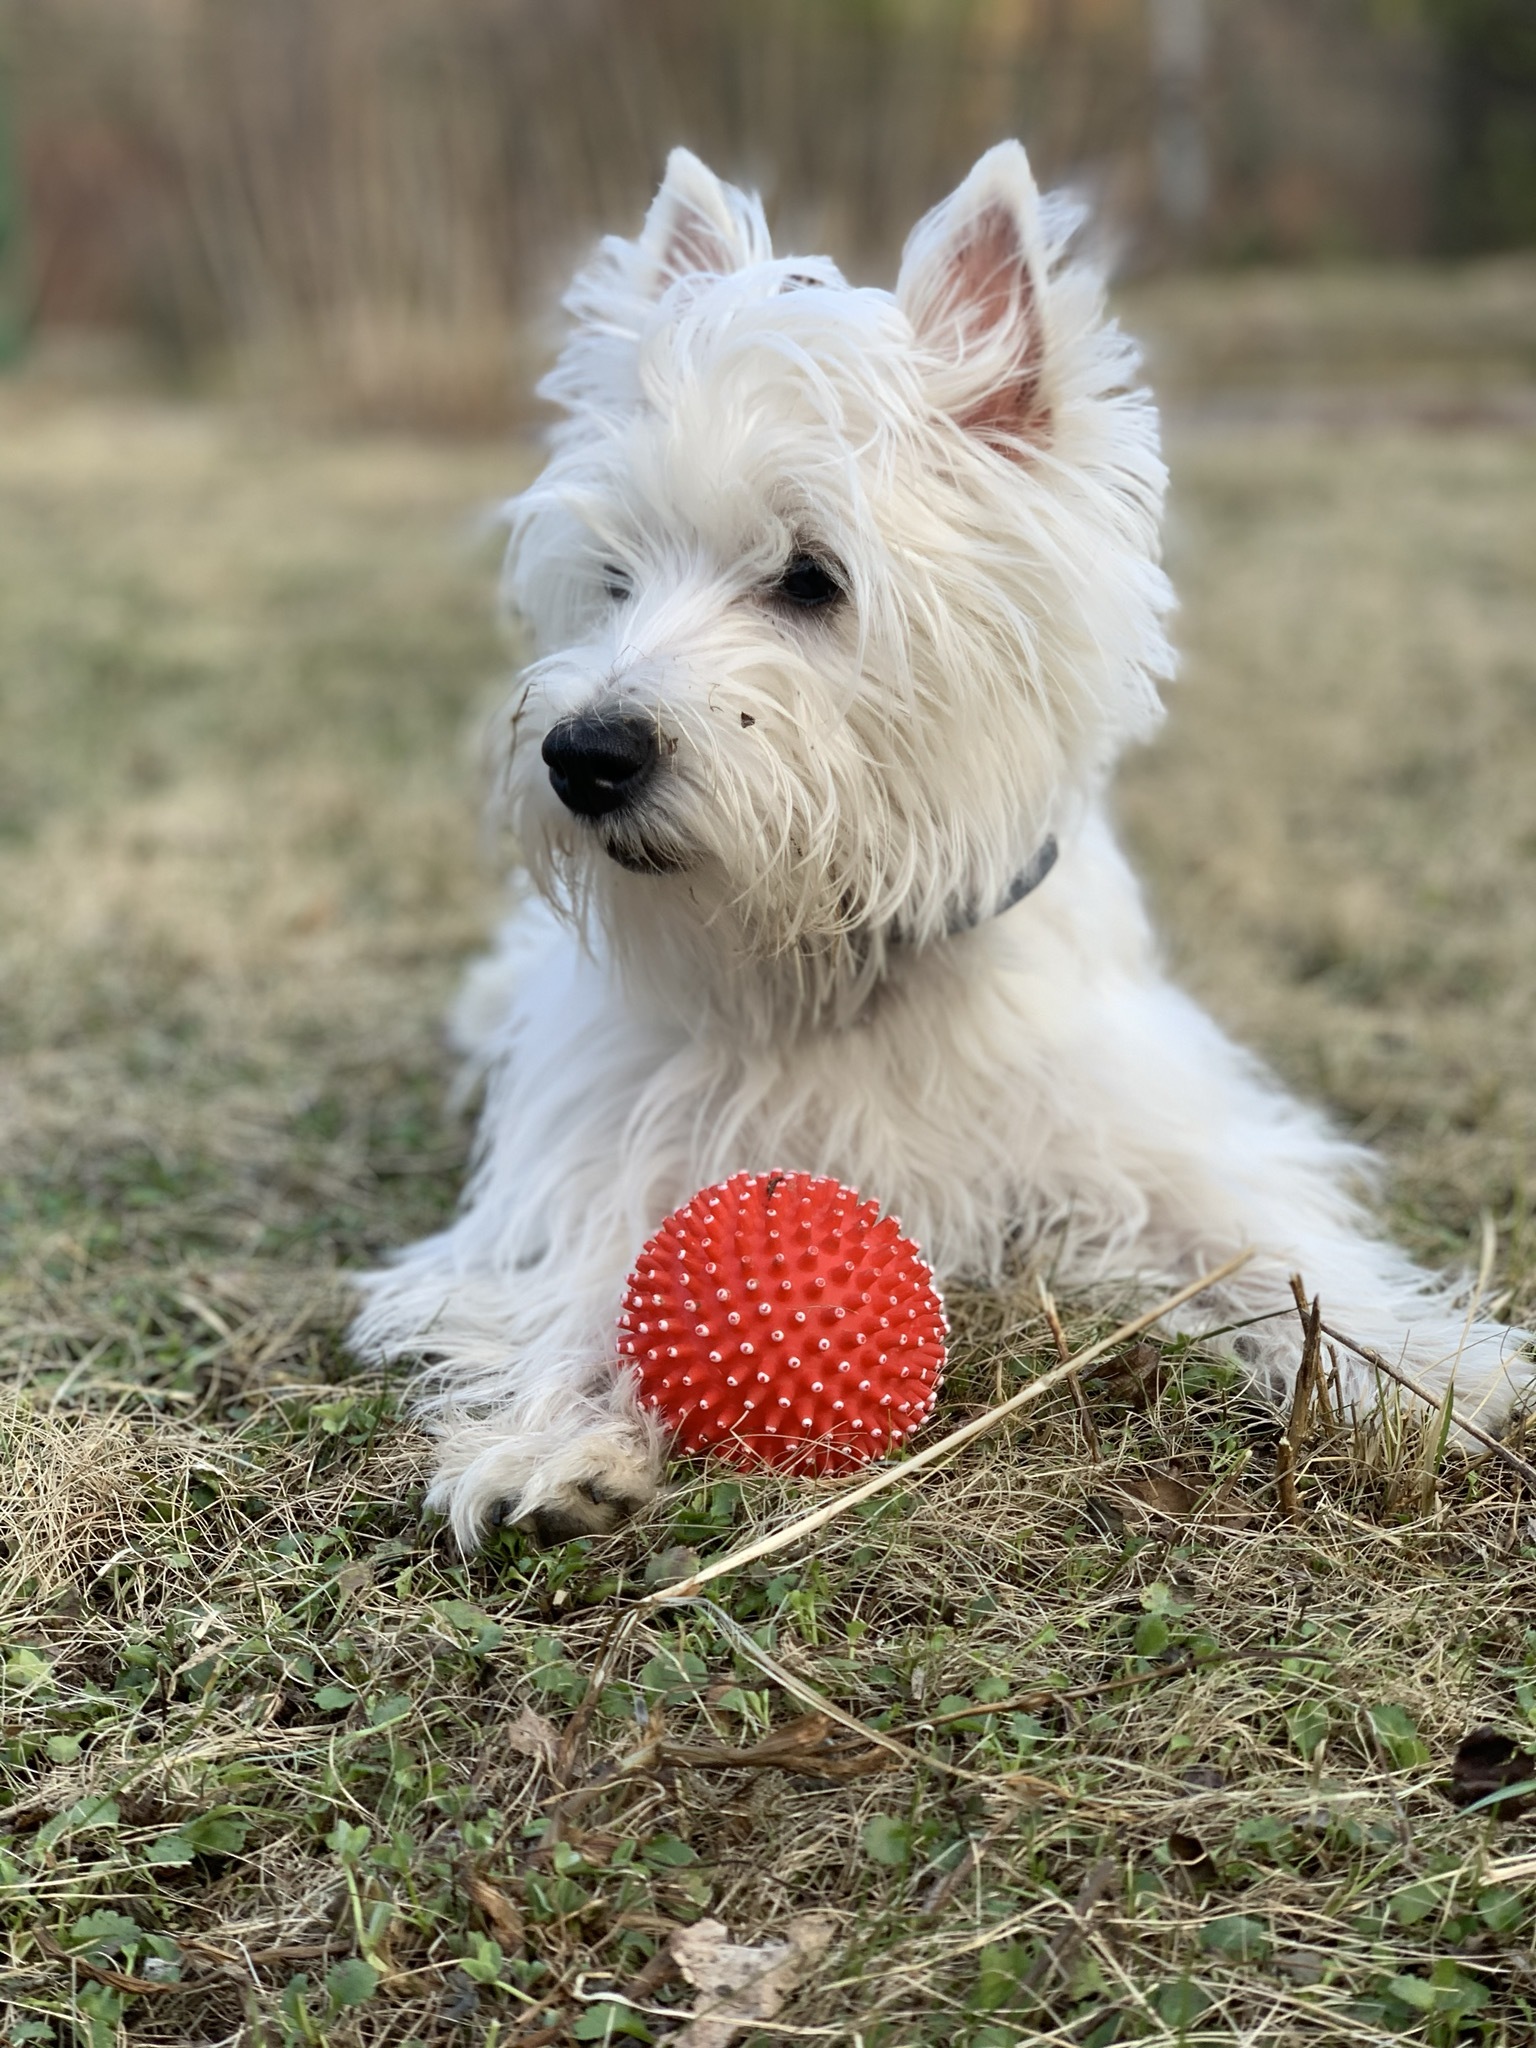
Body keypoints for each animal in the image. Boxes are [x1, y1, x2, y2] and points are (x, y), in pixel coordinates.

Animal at [352, 140, 1536, 1540]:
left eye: (812, 577)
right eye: (615, 580)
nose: (584, 756)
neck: (843, 958)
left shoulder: (1146, 1128)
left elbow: (1262, 1232)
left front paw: (1422, 1360)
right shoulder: (602, 1152)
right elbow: (582, 1269)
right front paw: (558, 1437)